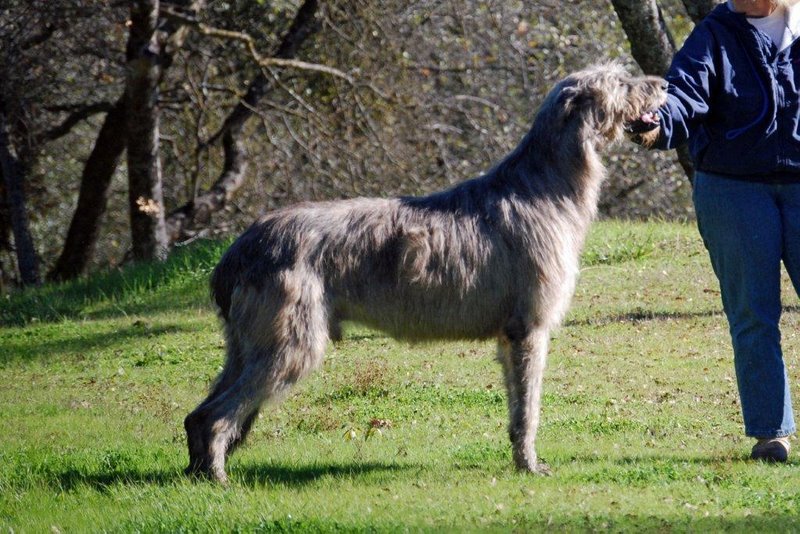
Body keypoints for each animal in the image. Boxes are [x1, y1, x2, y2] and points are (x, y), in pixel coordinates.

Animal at [184, 63, 664, 486]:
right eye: (622, 82)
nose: (662, 83)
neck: (544, 188)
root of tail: (238, 251)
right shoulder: (529, 328)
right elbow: (529, 409)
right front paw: (530, 466)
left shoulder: (509, 336)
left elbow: (515, 407)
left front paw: (518, 460)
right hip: (289, 341)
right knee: (215, 415)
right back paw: (218, 477)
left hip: (248, 343)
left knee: (198, 412)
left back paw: (197, 473)